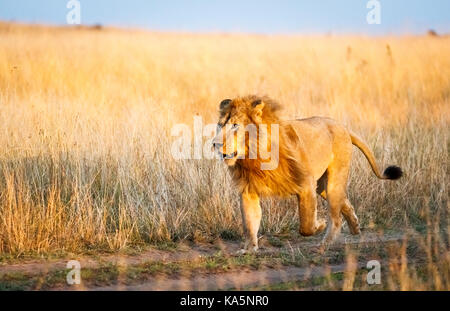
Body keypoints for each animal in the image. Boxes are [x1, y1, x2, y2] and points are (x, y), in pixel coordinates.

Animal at [213, 95, 402, 254]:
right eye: (220, 125)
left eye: (235, 125)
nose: (215, 144)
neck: (253, 156)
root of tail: (342, 126)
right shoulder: (249, 191)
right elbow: (250, 223)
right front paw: (249, 249)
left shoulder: (305, 185)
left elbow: (306, 225)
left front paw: (320, 225)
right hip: (322, 186)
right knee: (344, 202)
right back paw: (355, 227)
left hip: (333, 180)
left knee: (336, 217)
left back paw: (325, 244)